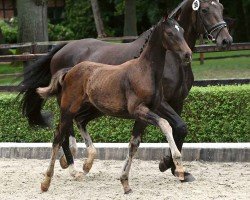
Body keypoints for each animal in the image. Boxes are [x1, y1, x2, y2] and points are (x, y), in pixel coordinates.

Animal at [37, 18, 191, 193]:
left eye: (182, 31)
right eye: (170, 33)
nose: (187, 54)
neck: (145, 71)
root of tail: (69, 71)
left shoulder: (145, 115)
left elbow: (134, 144)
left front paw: (125, 182)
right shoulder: (139, 110)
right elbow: (165, 124)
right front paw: (178, 165)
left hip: (93, 109)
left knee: (79, 123)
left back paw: (84, 164)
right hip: (68, 109)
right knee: (58, 136)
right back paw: (47, 181)